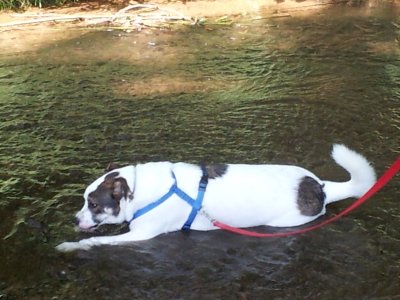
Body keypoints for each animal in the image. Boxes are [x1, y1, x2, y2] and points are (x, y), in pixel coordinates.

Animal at [56, 144, 376, 252]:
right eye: (83, 200)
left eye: (93, 204)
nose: (74, 219)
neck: (139, 187)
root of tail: (320, 186)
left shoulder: (141, 234)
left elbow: (97, 241)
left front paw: (71, 246)